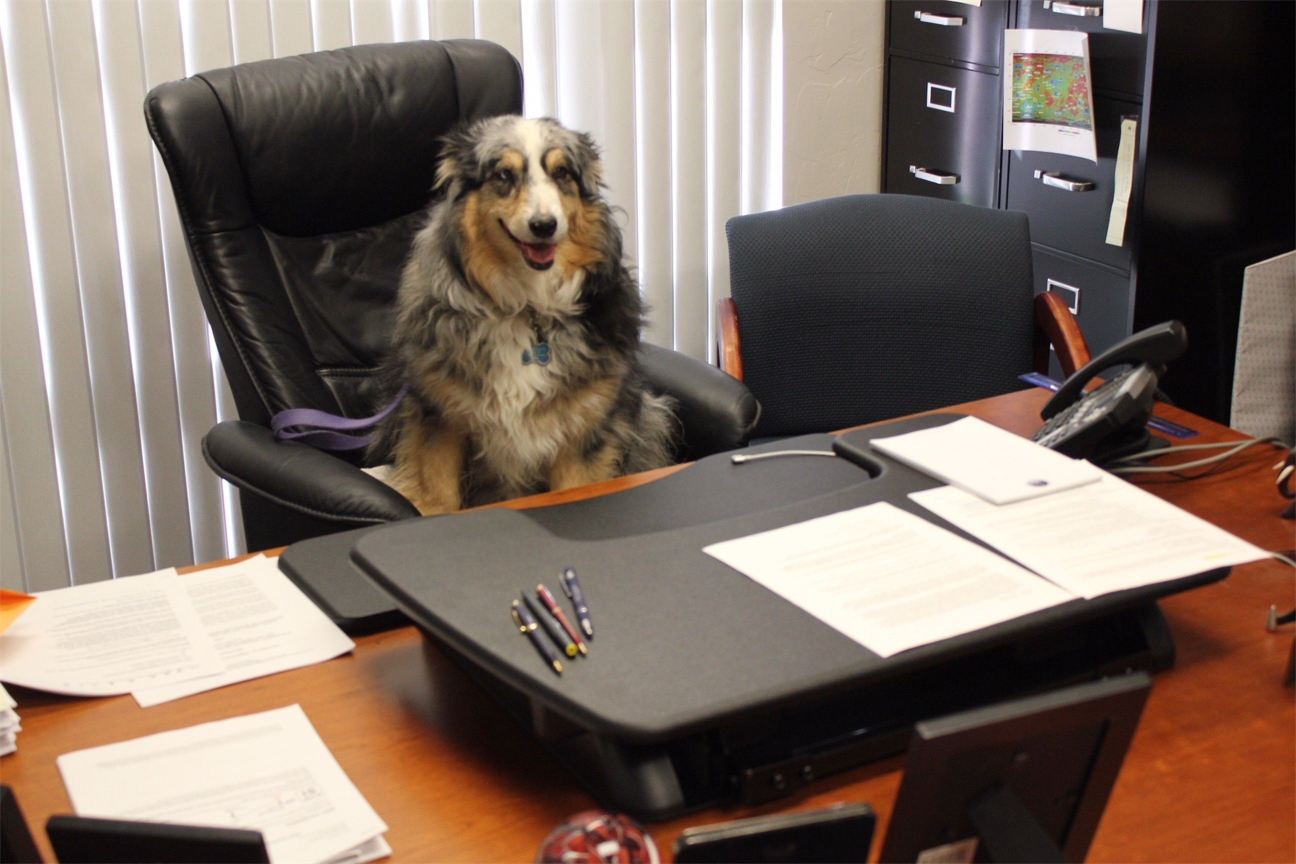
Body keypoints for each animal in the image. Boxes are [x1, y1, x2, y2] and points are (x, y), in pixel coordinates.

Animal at [373, 118, 673, 518]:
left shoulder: (583, 430)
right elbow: (436, 495)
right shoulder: (436, 417)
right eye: (503, 175)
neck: (527, 306)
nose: (544, 225)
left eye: (562, 173)